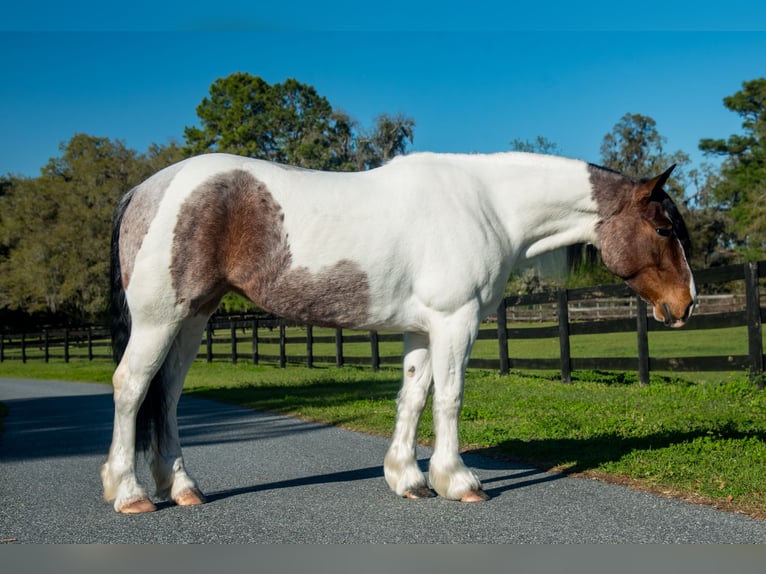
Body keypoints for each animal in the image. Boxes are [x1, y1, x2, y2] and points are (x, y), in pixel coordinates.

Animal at [100, 151, 696, 516]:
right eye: (662, 227)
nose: (684, 304)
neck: (488, 206)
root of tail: (144, 190)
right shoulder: (456, 321)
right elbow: (450, 398)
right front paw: (459, 481)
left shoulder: (423, 328)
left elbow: (413, 397)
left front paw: (409, 479)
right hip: (160, 318)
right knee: (131, 387)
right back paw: (129, 493)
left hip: (191, 319)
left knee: (167, 398)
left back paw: (182, 489)